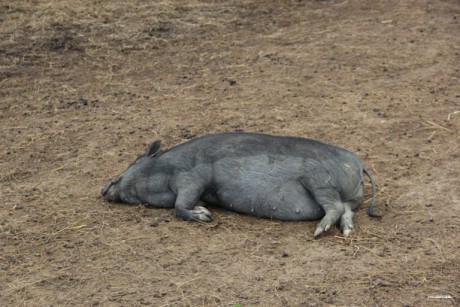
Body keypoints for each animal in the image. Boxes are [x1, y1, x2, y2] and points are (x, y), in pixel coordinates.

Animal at [102, 132, 380, 238]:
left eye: (132, 162)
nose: (103, 189)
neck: (166, 170)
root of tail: (358, 163)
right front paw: (204, 210)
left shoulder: (193, 178)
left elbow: (180, 206)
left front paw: (206, 216)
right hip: (344, 195)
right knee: (347, 210)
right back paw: (347, 231)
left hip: (320, 182)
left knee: (334, 207)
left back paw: (318, 232)